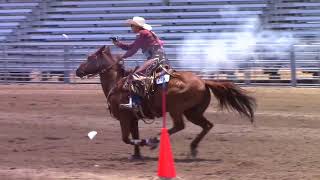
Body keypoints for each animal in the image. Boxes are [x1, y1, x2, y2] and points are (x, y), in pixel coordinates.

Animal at [75, 45, 255, 160]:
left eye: (90, 57)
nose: (78, 71)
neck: (117, 83)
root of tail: (204, 81)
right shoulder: (133, 119)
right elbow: (135, 135)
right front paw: (136, 155)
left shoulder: (124, 118)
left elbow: (126, 138)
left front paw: (146, 143)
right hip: (193, 112)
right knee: (207, 125)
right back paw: (192, 148)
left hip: (176, 109)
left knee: (179, 126)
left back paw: (155, 140)